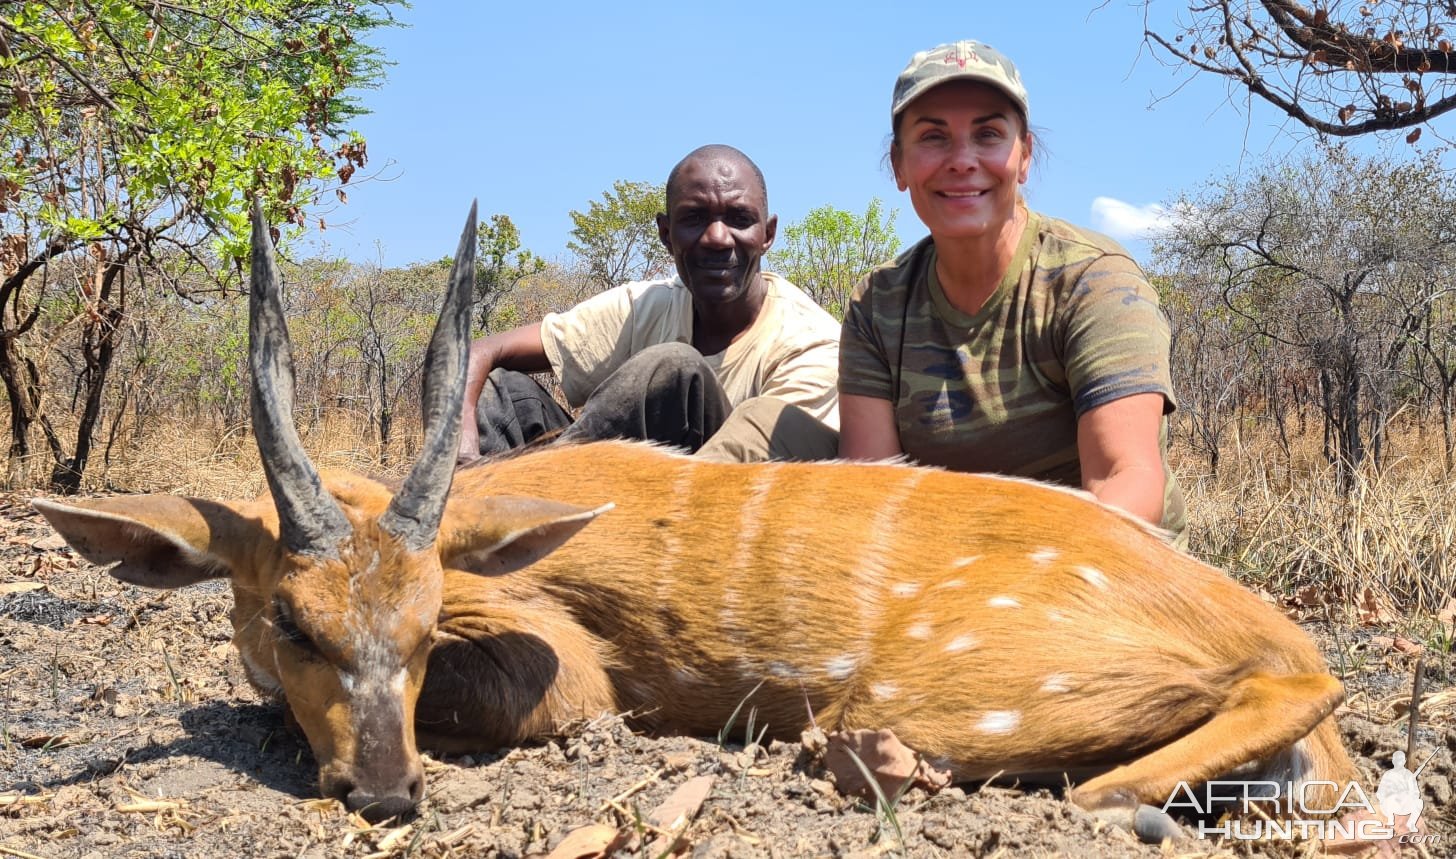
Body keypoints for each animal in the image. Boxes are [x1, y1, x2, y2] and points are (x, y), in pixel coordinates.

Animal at [31, 203, 1351, 844]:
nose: (388, 793)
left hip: (947, 694)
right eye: (293, 623)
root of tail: (1260, 625)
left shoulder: (571, 681)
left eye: (422, 634)